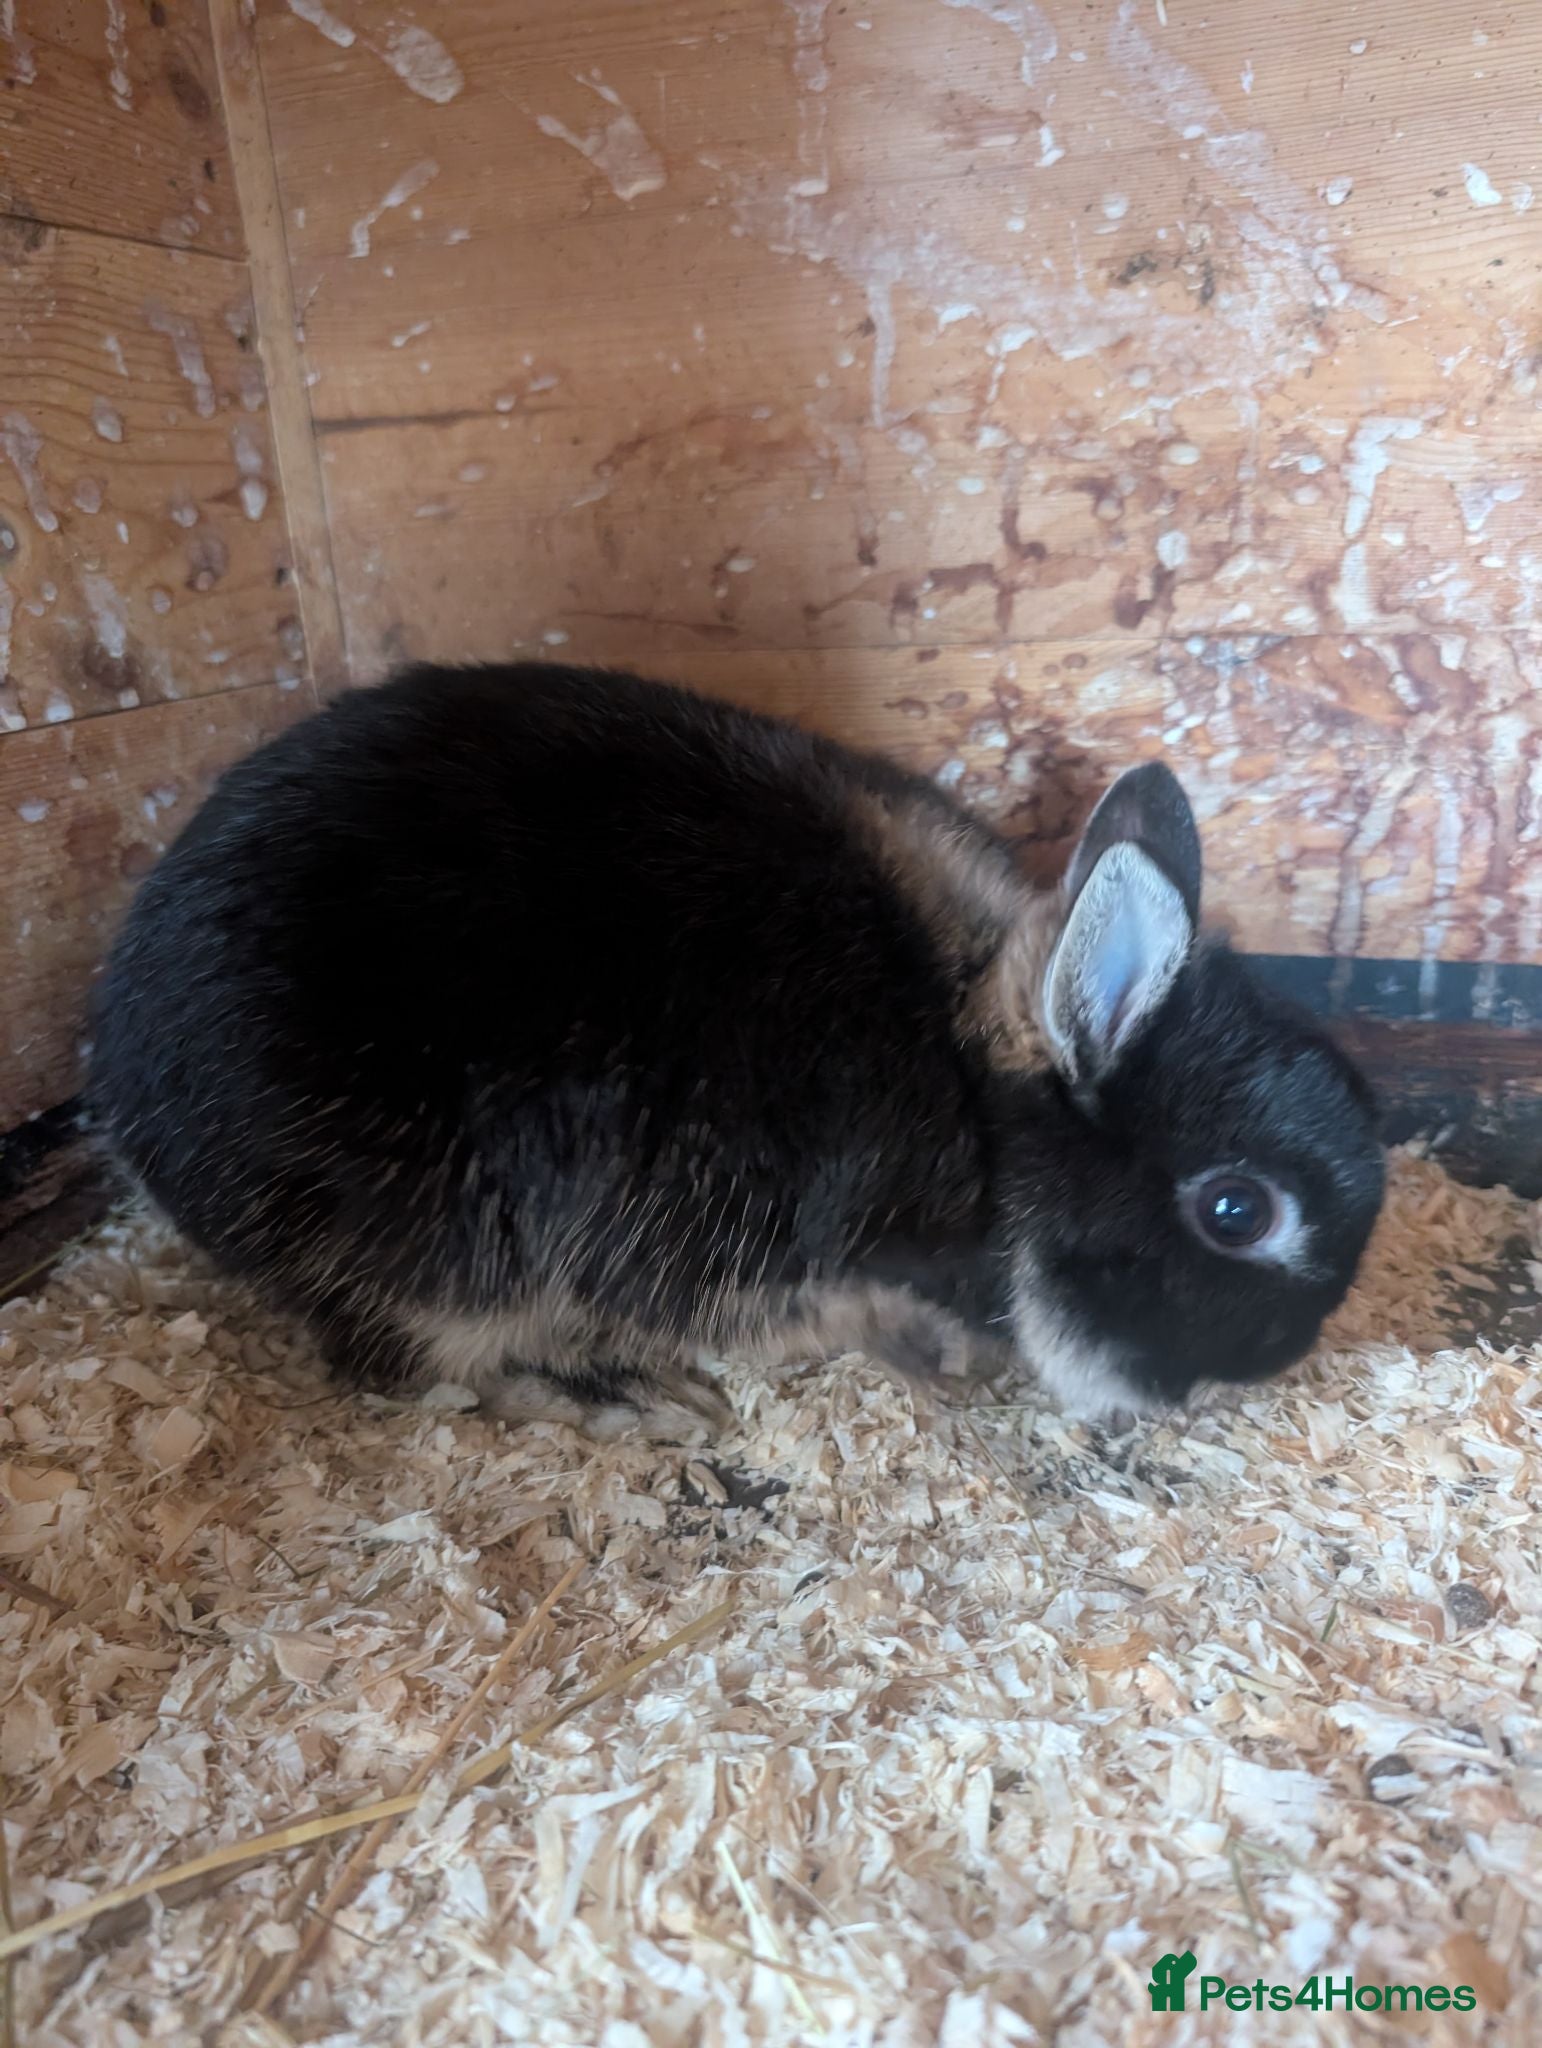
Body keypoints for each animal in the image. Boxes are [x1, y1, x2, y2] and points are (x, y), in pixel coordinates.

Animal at [90, 661, 1385, 1430]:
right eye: (1236, 1210)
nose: (1284, 1354)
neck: (972, 1079)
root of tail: (130, 1105)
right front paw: (930, 1354)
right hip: (436, 1243)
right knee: (414, 1354)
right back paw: (609, 1392)